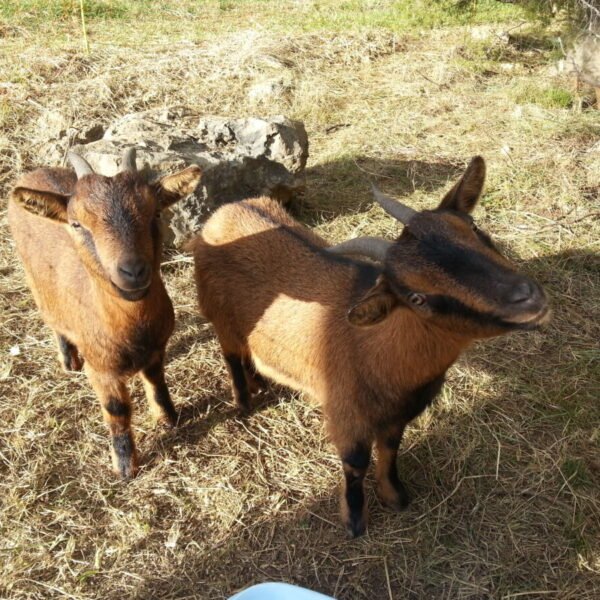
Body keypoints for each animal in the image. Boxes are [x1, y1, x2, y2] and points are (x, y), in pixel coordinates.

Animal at [8, 150, 202, 478]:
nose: (133, 272)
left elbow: (157, 384)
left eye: (156, 214)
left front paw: (168, 419)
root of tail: (33, 173)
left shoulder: (156, 350)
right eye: (76, 224)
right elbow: (117, 409)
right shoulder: (100, 369)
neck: (132, 330)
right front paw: (125, 466)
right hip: (37, 287)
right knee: (54, 322)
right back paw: (69, 360)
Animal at [191, 155, 548, 536]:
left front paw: (395, 497)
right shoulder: (347, 414)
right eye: (416, 297)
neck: (379, 348)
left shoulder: (395, 416)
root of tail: (227, 209)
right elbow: (355, 464)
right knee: (230, 354)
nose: (529, 299)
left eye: (474, 228)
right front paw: (354, 520)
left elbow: (391, 449)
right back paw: (243, 405)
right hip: (219, 315)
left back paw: (260, 382)